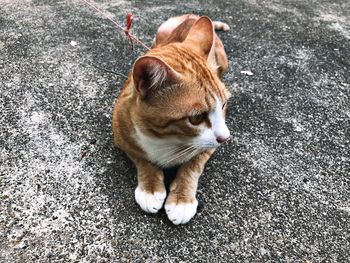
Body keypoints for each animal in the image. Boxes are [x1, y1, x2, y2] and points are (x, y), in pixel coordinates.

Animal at [112, 13, 231, 225]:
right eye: (196, 118)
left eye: (224, 105)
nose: (226, 138)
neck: (166, 139)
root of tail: (192, 15)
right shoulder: (121, 136)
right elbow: (142, 158)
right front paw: (150, 188)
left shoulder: (208, 147)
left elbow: (192, 167)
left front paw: (182, 200)